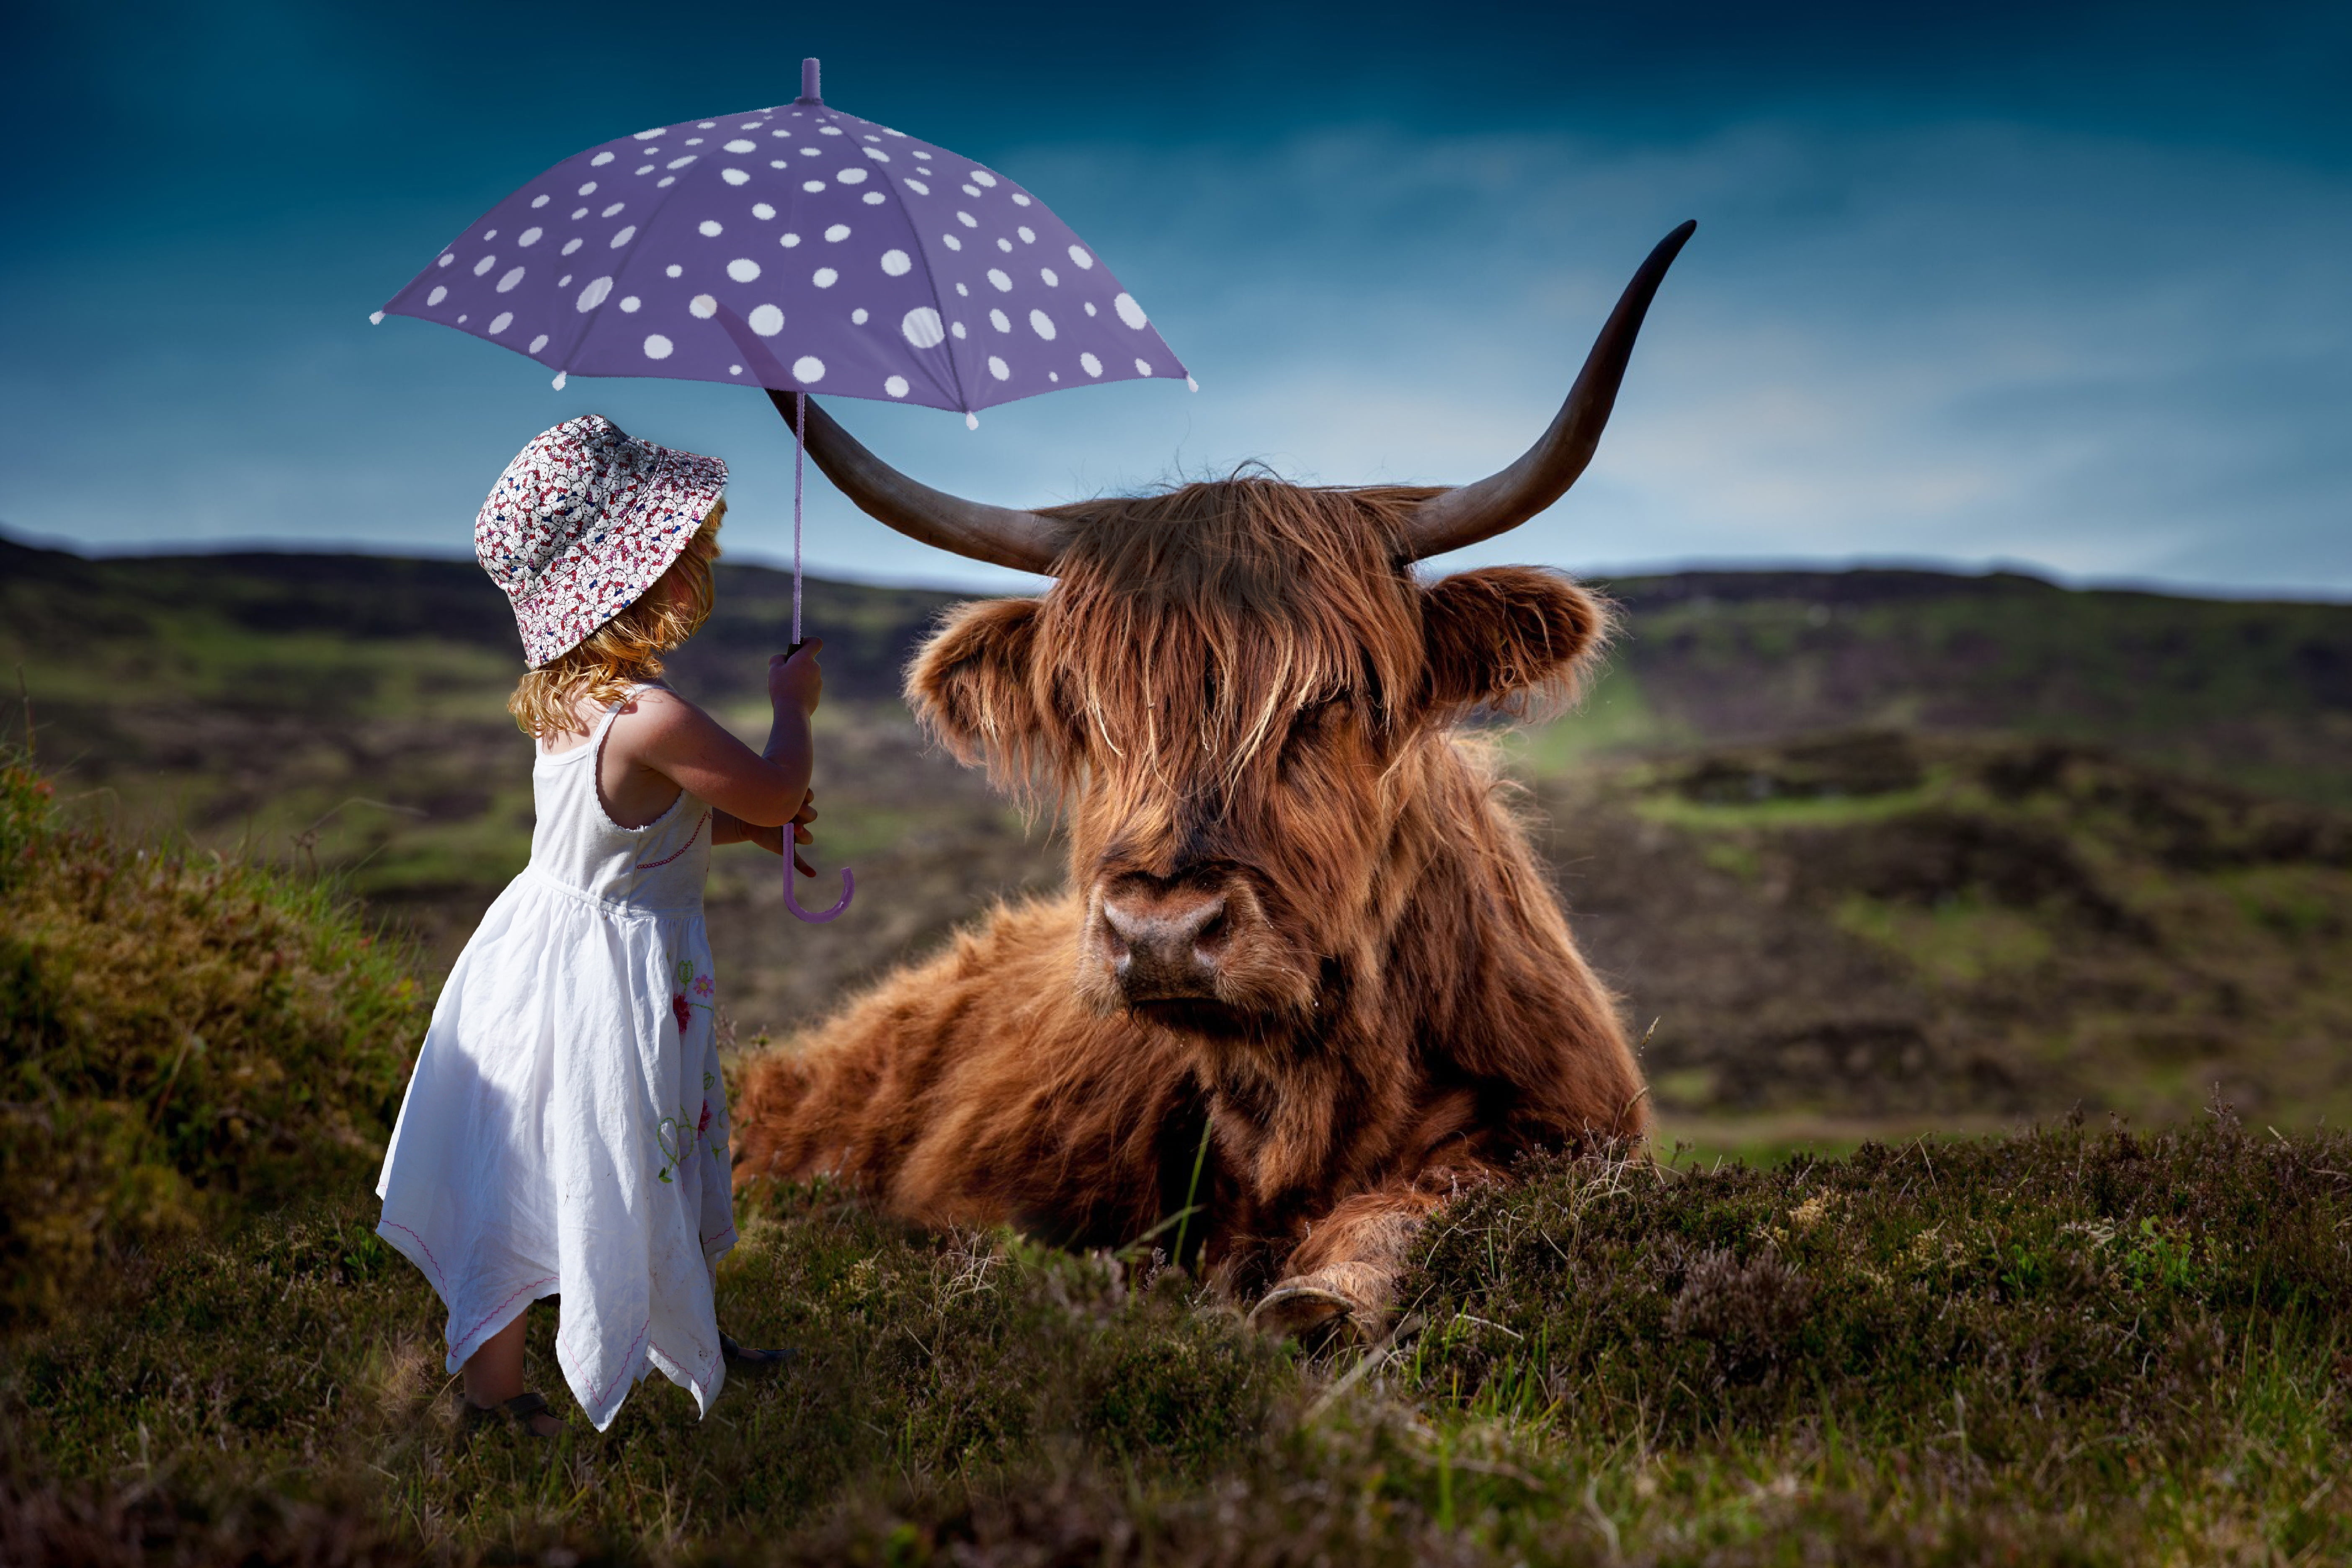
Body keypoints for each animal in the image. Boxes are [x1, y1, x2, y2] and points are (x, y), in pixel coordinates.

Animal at [734, 221, 1693, 1335]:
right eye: (1087, 706)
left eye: (1337, 697)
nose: (1160, 932)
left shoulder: (1569, 1130)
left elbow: (1439, 1194)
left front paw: (1322, 1293)